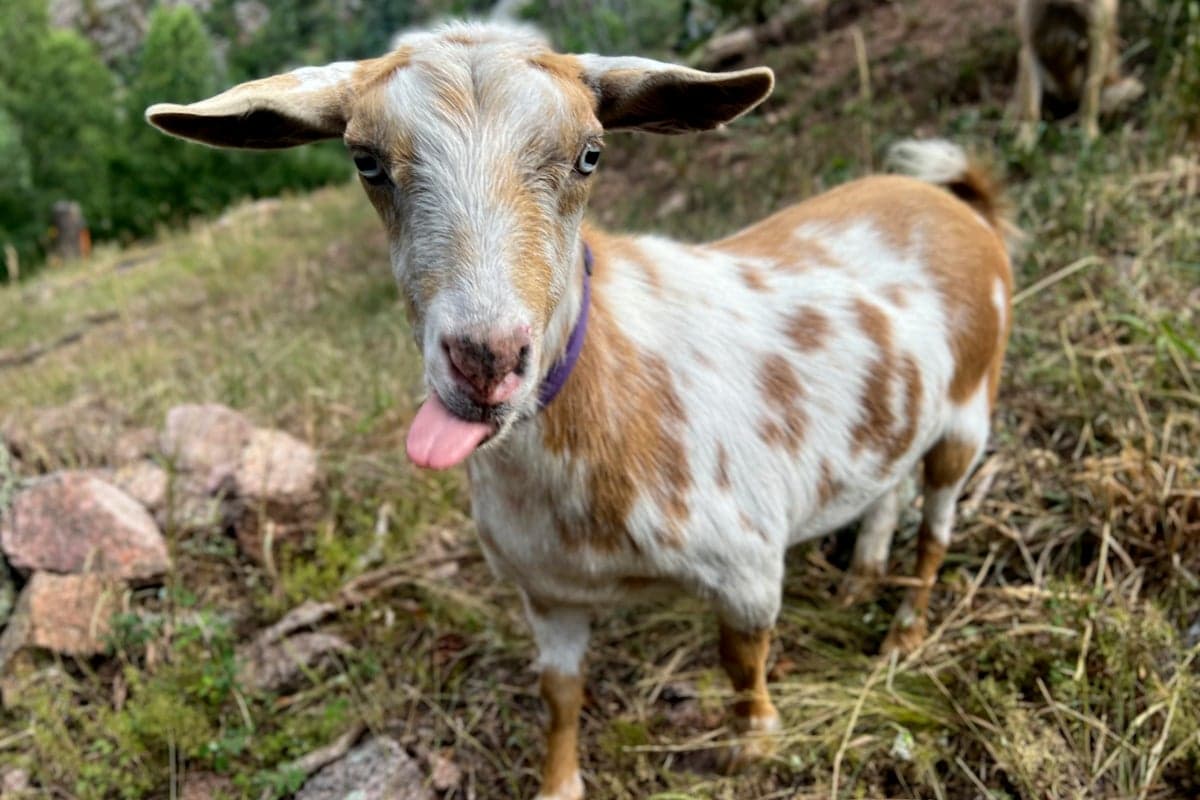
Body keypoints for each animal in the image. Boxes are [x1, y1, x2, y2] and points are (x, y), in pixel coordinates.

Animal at [147, 22, 1012, 799]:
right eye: (366, 162)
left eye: (590, 155)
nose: (487, 359)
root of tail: (954, 200)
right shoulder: (548, 590)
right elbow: (559, 695)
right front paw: (559, 783)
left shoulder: (746, 560)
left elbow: (741, 661)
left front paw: (755, 744)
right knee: (888, 489)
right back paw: (861, 579)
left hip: (971, 404)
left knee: (938, 522)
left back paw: (902, 633)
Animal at [1015, 0, 1144, 147]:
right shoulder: (1030, 46)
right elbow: (1030, 107)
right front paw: (1025, 141)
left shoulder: (1095, 44)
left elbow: (1089, 98)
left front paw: (1089, 135)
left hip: (1129, 88)